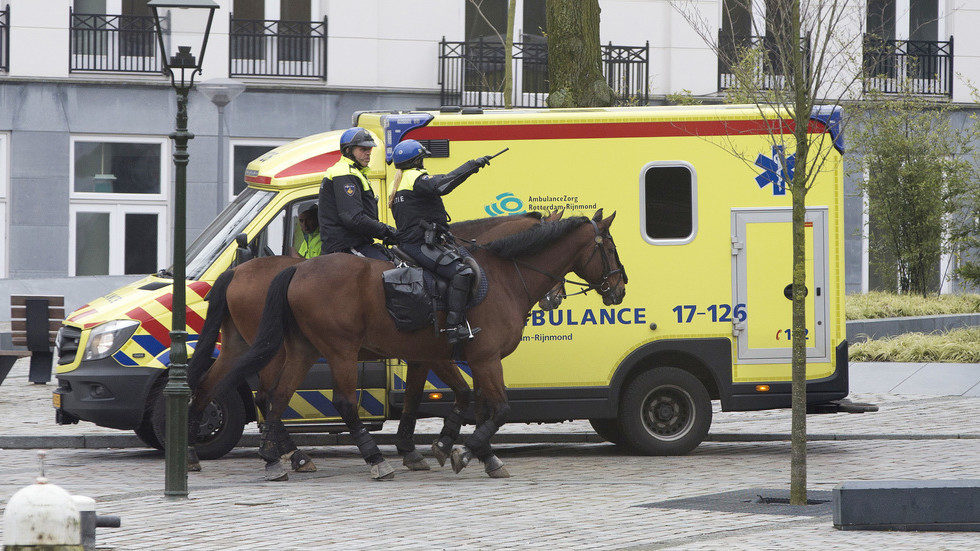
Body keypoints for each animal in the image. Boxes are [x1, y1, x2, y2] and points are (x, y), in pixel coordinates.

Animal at [216, 210, 628, 478]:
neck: (499, 275)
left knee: (278, 397)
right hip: (338, 351)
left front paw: (457, 450)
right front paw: (464, 451)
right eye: (609, 246)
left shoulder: (444, 357)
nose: (619, 288)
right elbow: (497, 408)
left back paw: (277, 459)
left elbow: (462, 402)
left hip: (303, 349)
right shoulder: (481, 357)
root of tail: (296, 269)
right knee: (339, 401)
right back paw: (370, 460)